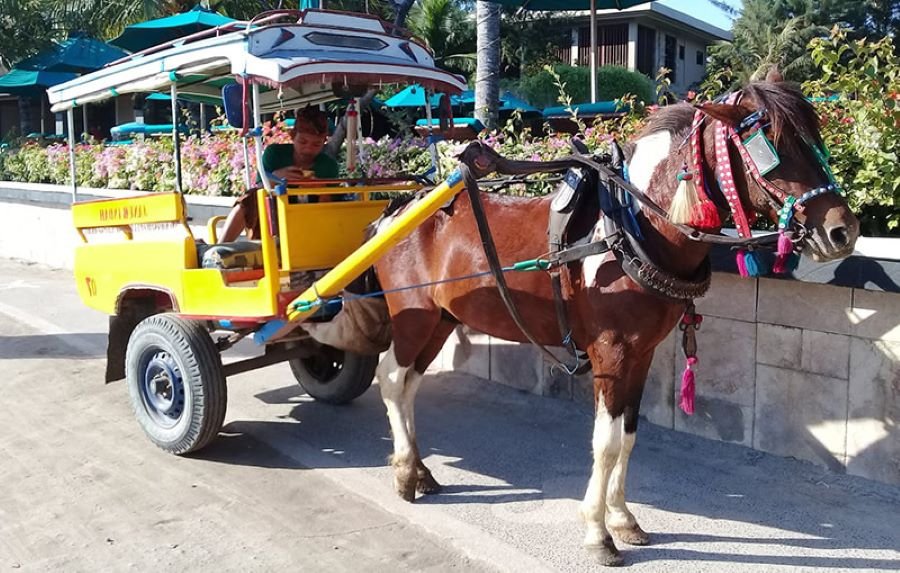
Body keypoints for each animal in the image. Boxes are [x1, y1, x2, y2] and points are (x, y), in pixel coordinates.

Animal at [308, 74, 860, 566]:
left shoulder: (643, 352)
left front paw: (622, 517)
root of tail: (398, 207)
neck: (634, 229)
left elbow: (630, 436)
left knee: (411, 384)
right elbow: (607, 441)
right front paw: (598, 533)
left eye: (815, 139)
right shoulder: (611, 353)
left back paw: (420, 469)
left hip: (441, 318)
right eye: (769, 144)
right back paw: (404, 471)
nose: (843, 230)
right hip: (414, 315)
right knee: (392, 377)